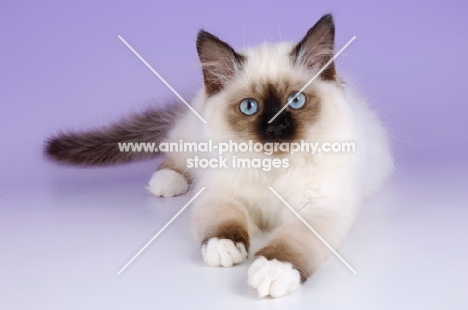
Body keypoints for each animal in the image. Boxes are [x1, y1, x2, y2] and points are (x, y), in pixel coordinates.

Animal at [45, 14, 394, 298]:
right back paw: (166, 182)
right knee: (174, 155)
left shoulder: (318, 208)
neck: (273, 165)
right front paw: (224, 248)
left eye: (295, 101)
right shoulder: (219, 192)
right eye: (250, 107)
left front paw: (272, 271)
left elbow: (291, 242)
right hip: (191, 141)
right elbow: (224, 220)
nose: (276, 127)